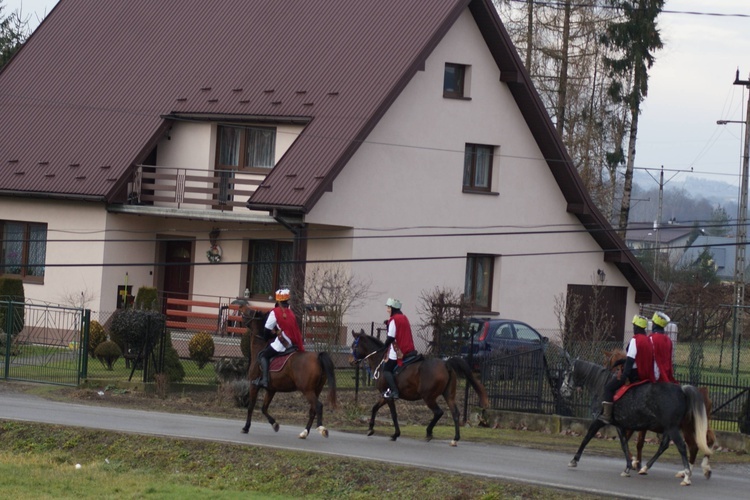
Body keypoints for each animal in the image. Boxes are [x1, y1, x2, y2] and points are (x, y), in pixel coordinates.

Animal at [241, 308, 338, 438]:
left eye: (250, 313)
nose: (242, 313)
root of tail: (318, 357)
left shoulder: (254, 385)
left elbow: (251, 407)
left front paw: (246, 427)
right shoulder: (271, 390)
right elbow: (264, 408)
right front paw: (274, 424)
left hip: (307, 390)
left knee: (318, 406)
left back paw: (321, 428)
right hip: (316, 390)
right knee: (313, 410)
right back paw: (304, 433)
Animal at [350, 328, 490, 446]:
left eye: (353, 346)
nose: (351, 361)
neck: (381, 361)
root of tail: (446, 364)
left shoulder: (389, 396)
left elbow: (393, 414)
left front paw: (395, 434)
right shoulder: (384, 395)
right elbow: (374, 408)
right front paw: (370, 428)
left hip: (428, 397)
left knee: (438, 412)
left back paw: (429, 433)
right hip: (448, 395)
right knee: (455, 413)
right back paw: (455, 438)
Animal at [560, 358, 712, 486]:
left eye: (567, 373)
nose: (563, 391)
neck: (601, 384)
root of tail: (682, 390)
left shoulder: (599, 420)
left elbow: (587, 438)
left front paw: (574, 460)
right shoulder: (620, 425)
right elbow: (624, 444)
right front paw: (628, 467)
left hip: (673, 428)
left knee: (683, 446)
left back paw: (686, 476)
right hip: (672, 428)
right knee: (667, 446)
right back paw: (646, 467)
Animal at [604, 348, 716, 480]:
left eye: (613, 364)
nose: (612, 378)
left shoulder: (637, 424)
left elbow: (635, 442)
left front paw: (635, 462)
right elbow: (628, 440)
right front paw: (635, 463)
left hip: (687, 428)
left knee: (694, 446)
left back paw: (687, 473)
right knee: (708, 440)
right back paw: (701, 469)